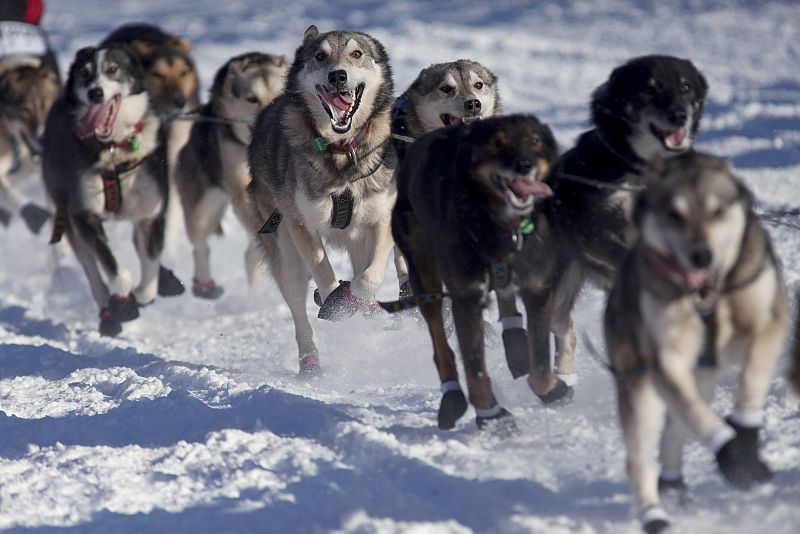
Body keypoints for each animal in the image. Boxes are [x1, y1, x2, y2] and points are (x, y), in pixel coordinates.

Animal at [392, 115, 556, 434]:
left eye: (533, 141)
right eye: (496, 144)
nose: (524, 165)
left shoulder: (537, 285)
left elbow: (541, 359)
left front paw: (549, 387)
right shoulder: (466, 296)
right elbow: (474, 366)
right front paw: (492, 416)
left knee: (506, 301)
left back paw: (515, 343)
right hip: (424, 276)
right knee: (441, 343)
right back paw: (452, 397)